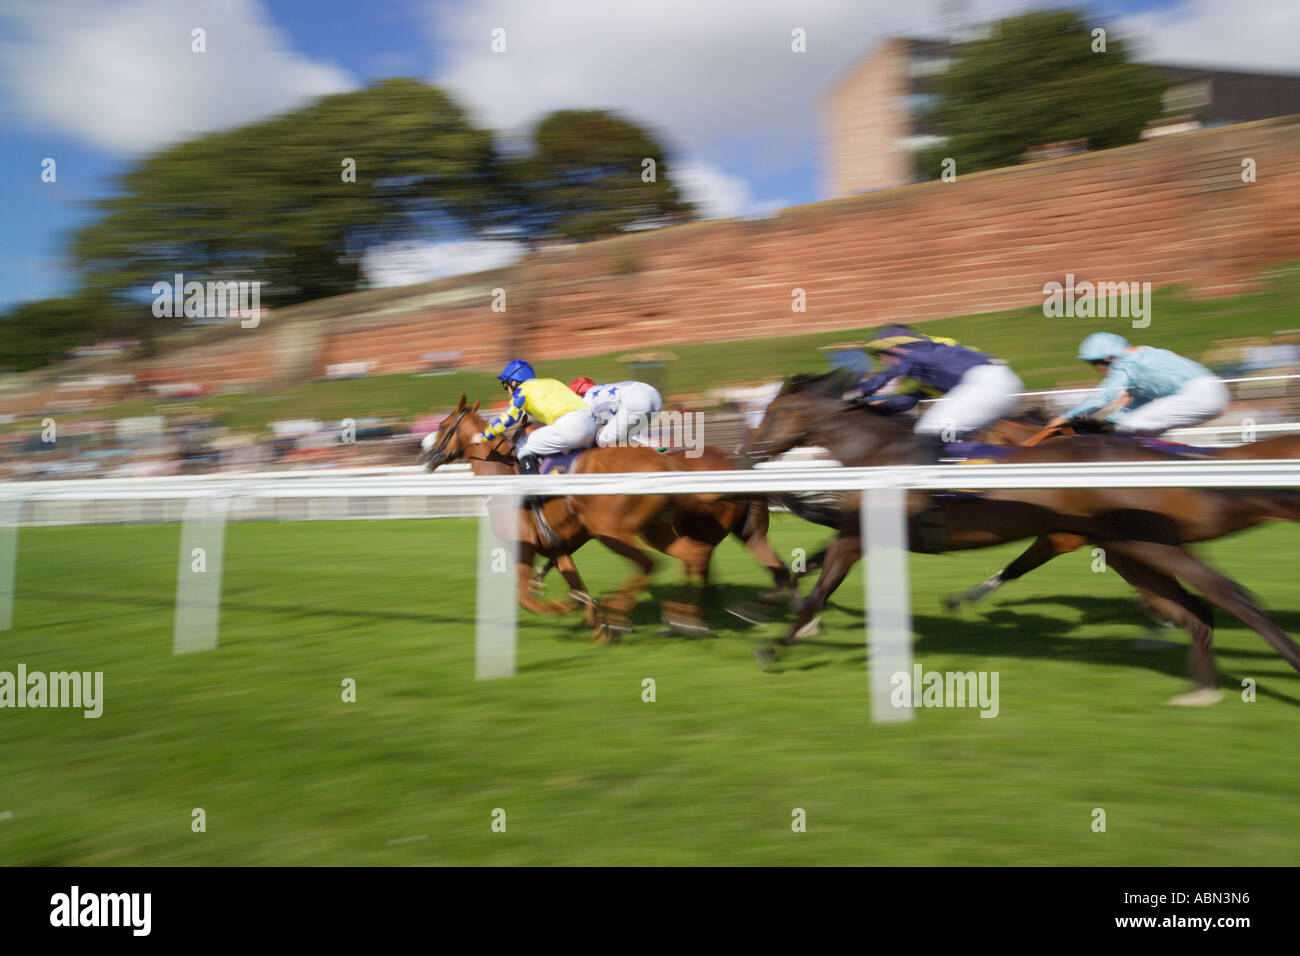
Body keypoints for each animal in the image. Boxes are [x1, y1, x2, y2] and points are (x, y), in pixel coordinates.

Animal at [426, 395, 790, 642]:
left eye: (442, 426)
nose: (426, 453)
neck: (503, 474)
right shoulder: (558, 547)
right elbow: (575, 584)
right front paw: (593, 621)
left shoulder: (524, 546)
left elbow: (525, 596)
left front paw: (566, 609)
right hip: (705, 531)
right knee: (709, 558)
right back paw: (692, 617)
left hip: (615, 530)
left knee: (667, 563)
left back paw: (649, 615)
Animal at [738, 369, 1300, 697]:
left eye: (772, 412)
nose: (747, 453)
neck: (876, 454)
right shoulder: (857, 529)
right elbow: (808, 565)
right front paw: (760, 607)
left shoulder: (860, 537)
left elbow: (819, 585)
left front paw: (774, 645)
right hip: (1128, 549)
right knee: (1193, 609)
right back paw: (1200, 684)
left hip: (1146, 543)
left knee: (1229, 596)